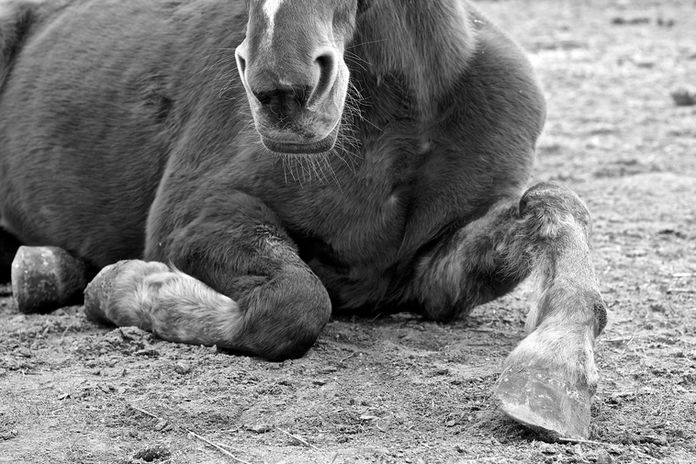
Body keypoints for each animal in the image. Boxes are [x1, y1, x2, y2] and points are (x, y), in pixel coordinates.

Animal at [0, 0, 607, 439]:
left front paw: (555, 372)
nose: (281, 92)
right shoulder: (195, 214)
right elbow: (294, 303)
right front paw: (123, 285)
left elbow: (556, 204)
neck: (410, 112)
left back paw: (45, 267)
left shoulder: (435, 275)